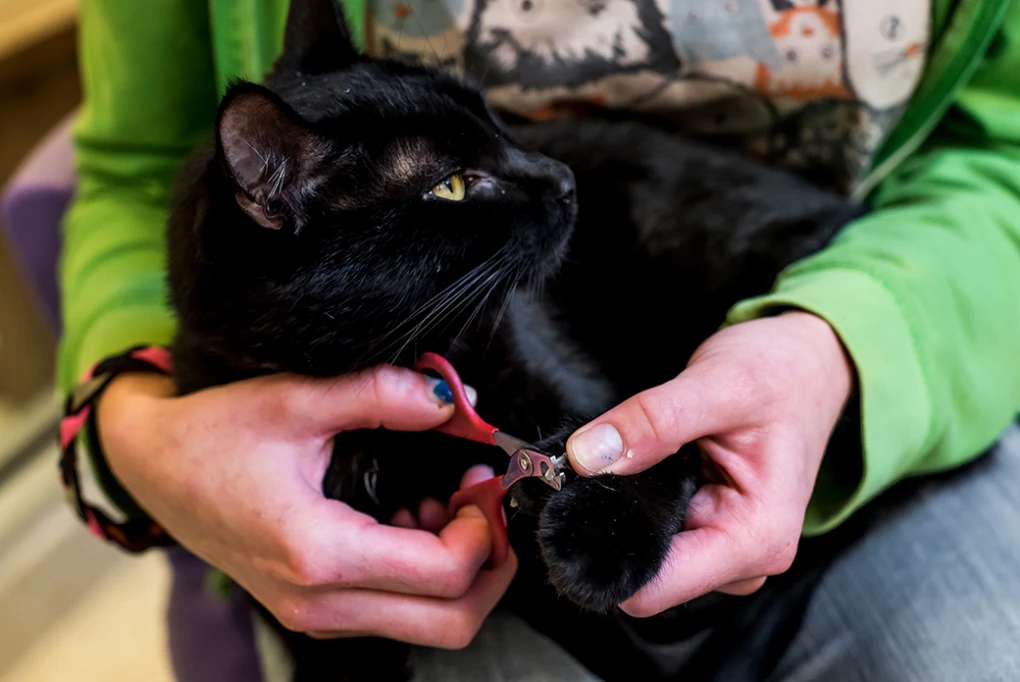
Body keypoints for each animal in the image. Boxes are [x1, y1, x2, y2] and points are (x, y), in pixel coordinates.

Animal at [163, 0, 864, 676]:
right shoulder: (318, 631)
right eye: (450, 184)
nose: (563, 176)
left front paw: (598, 536)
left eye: (495, 120)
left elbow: (650, 434)